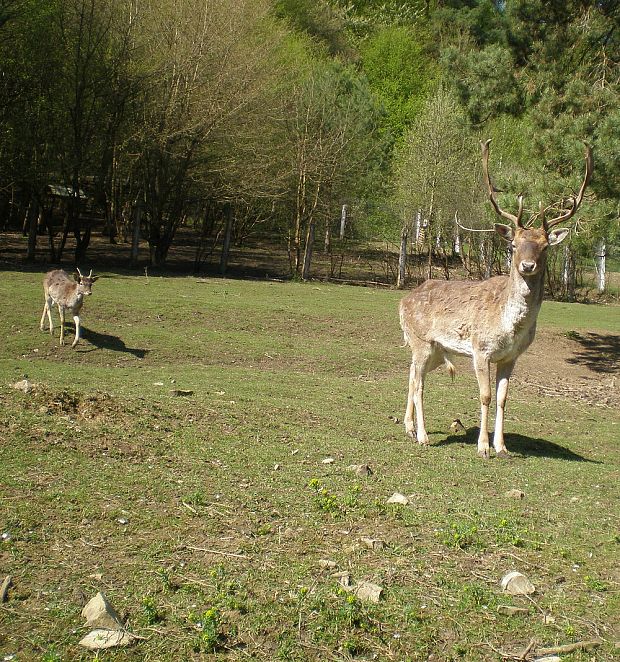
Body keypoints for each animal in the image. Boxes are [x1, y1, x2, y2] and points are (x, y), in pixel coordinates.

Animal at [400, 140, 592, 460]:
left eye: (545, 247)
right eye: (513, 244)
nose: (527, 265)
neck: (509, 328)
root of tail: (402, 302)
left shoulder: (511, 357)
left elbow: (503, 398)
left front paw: (501, 446)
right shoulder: (480, 349)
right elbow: (486, 395)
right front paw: (482, 447)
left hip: (437, 350)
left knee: (413, 374)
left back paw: (409, 428)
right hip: (421, 340)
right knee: (419, 384)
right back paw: (424, 436)